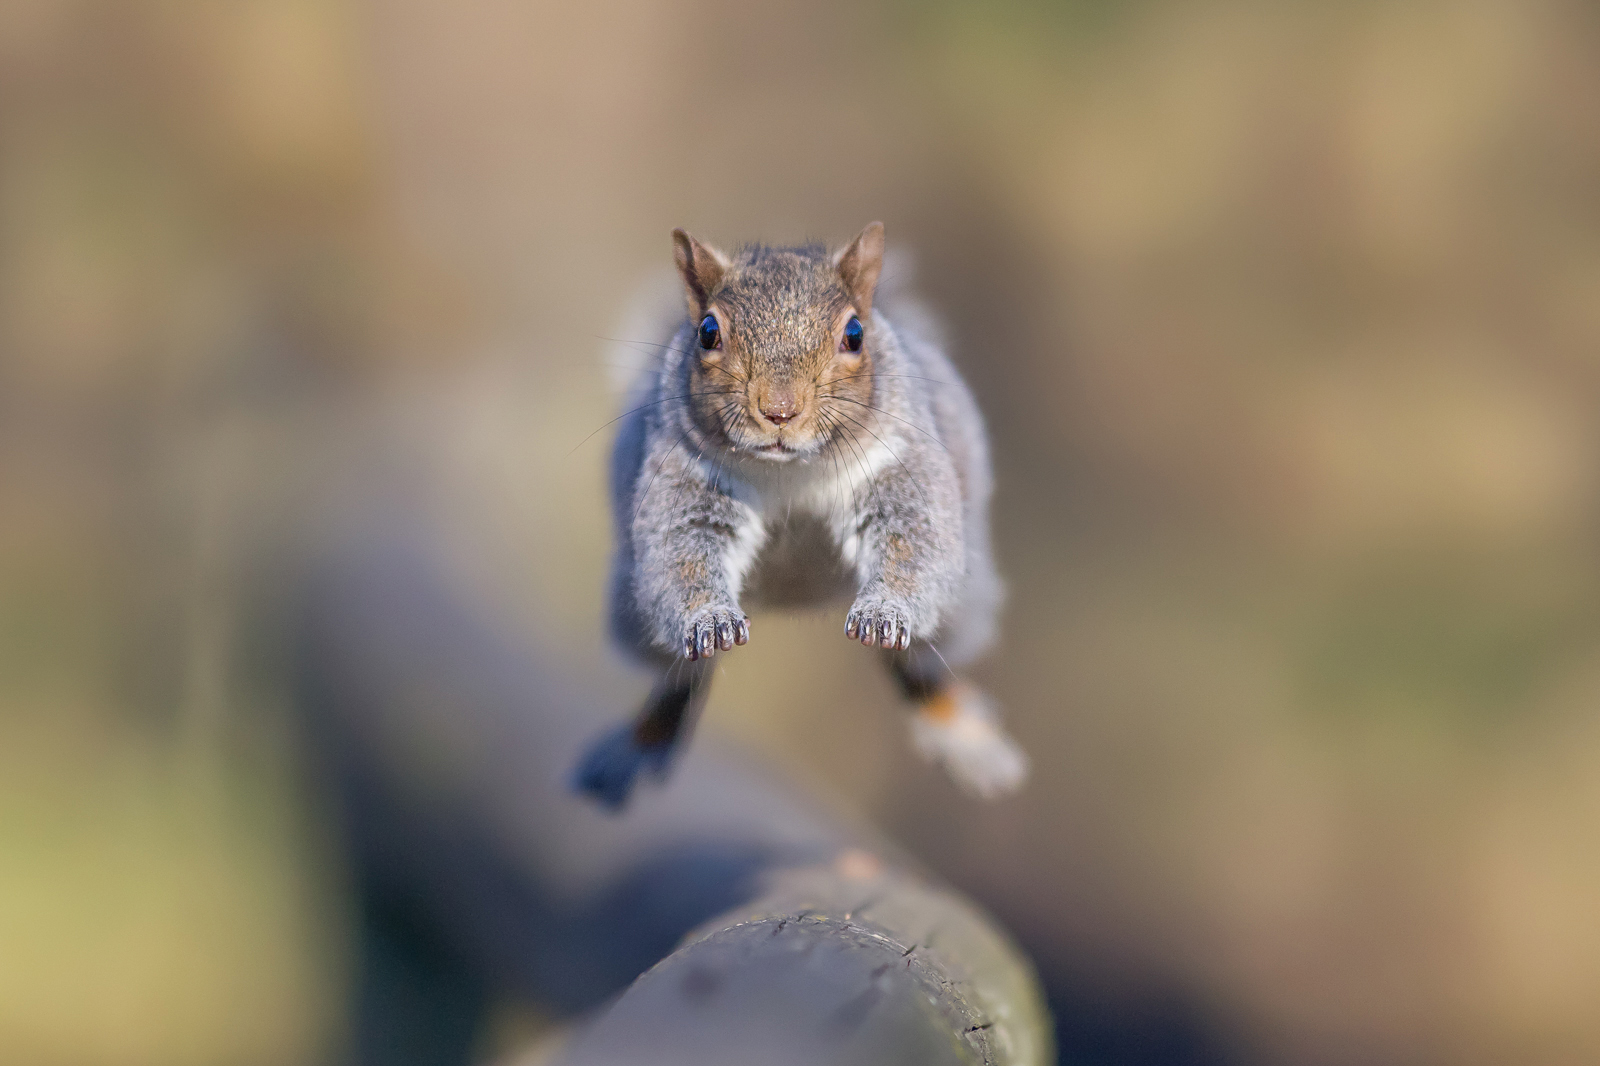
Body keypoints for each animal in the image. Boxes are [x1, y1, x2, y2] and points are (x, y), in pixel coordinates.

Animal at [573, 222, 1029, 809]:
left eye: (854, 334)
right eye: (707, 332)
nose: (779, 411)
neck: (790, 473)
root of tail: (799, 595)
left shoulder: (901, 468)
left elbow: (913, 546)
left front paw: (884, 610)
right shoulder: (683, 484)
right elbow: (682, 559)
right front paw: (709, 618)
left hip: (962, 606)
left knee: (919, 664)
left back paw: (963, 734)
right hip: (634, 620)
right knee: (679, 678)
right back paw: (637, 745)